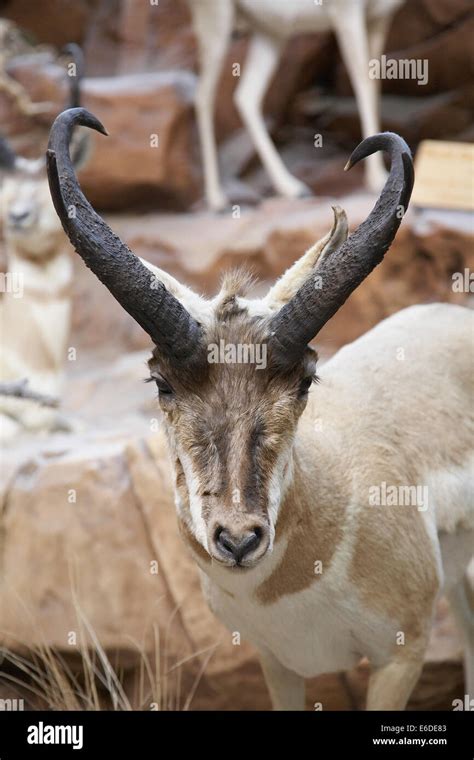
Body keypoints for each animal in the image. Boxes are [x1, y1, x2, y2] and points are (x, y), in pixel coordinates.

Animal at [189, 0, 404, 209]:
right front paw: (377, 178)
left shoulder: (378, 18)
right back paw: (218, 200)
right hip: (219, 22)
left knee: (246, 96)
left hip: (270, 33)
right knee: (204, 96)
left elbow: (373, 85)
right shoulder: (347, 15)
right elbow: (363, 85)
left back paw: (293, 188)